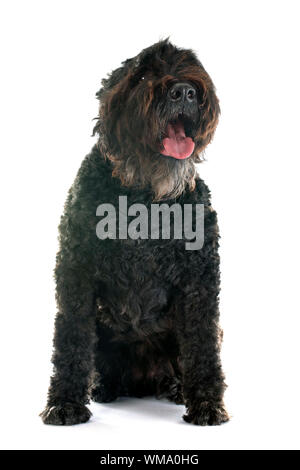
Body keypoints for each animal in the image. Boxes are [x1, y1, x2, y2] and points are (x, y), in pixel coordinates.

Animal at [39, 41, 227, 426]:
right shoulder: (75, 272)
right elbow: (71, 337)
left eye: (191, 64)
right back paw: (103, 387)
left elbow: (202, 342)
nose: (184, 91)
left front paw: (206, 403)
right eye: (141, 75)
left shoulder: (200, 280)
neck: (145, 197)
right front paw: (64, 402)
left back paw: (177, 389)